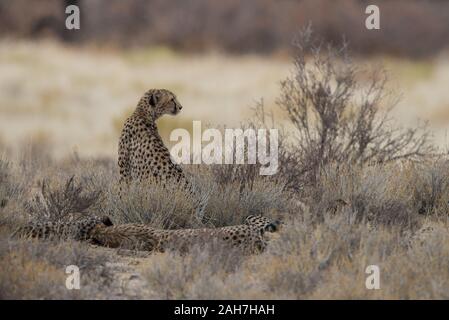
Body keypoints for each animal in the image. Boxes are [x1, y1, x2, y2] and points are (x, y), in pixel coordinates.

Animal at [119, 89, 210, 221]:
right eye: (172, 99)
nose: (181, 107)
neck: (143, 113)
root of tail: (196, 205)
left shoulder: (125, 171)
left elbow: (122, 194)